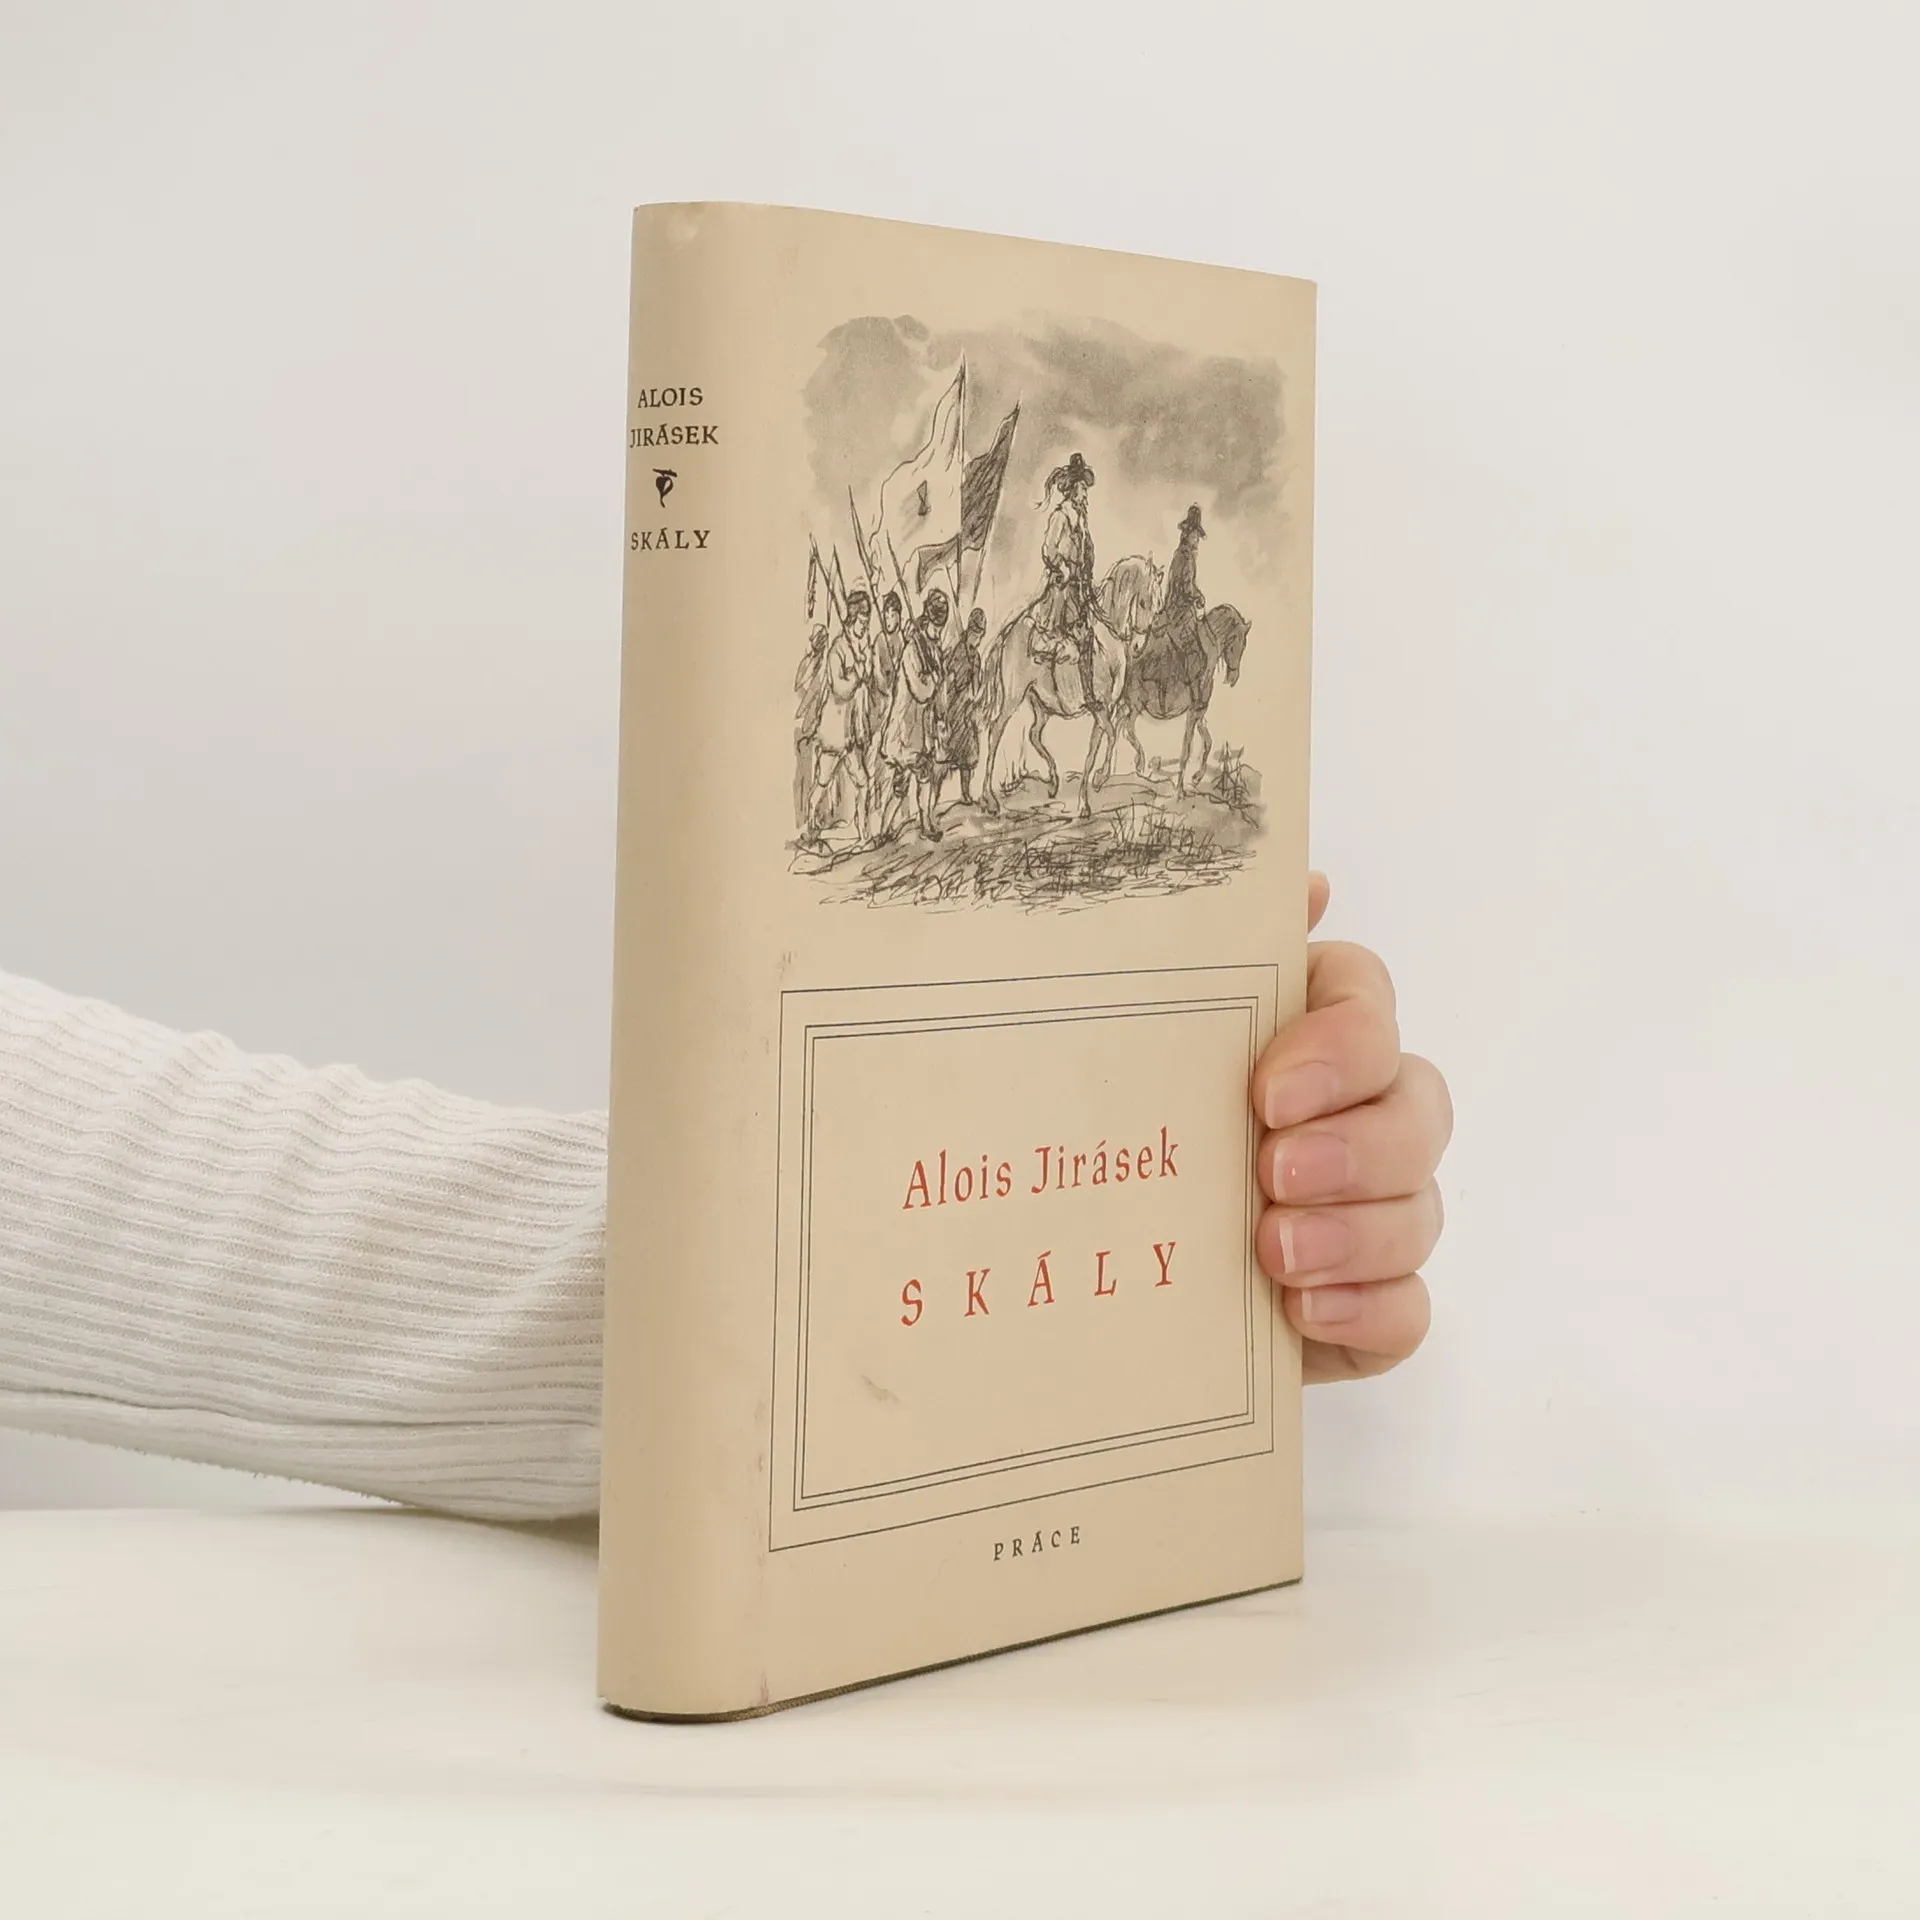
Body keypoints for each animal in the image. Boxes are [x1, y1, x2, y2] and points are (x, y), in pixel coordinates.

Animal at [1101, 601, 1252, 796]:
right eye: (1238, 643)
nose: (1233, 678)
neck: (1207, 650)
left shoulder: (1199, 713)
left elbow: (1208, 743)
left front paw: (1196, 777)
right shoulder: (1193, 712)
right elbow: (1186, 749)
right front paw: (1180, 790)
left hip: (1128, 704)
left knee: (1115, 727)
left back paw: (1105, 773)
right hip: (1135, 705)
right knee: (1126, 729)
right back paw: (1137, 763)